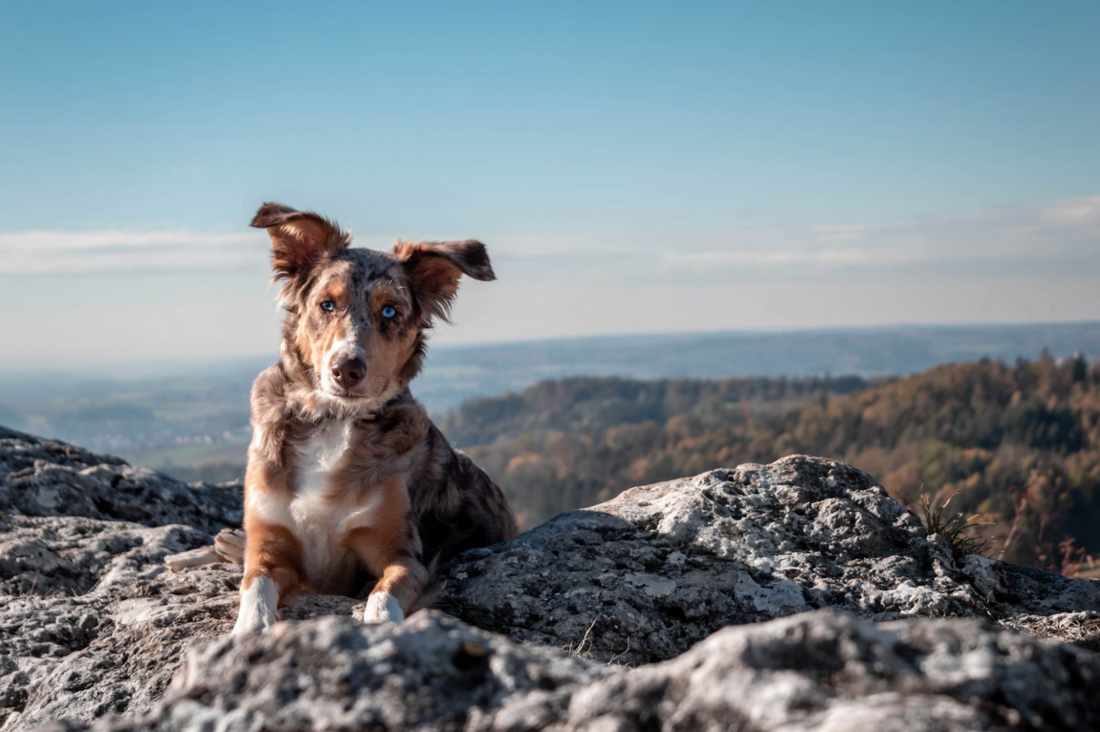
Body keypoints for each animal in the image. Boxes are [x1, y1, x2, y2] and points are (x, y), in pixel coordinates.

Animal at [170, 201, 514, 634]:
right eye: (327, 304)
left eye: (390, 311)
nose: (346, 369)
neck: (332, 420)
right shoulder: (271, 548)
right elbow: (255, 587)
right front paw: (248, 630)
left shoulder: (401, 557)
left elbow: (381, 597)